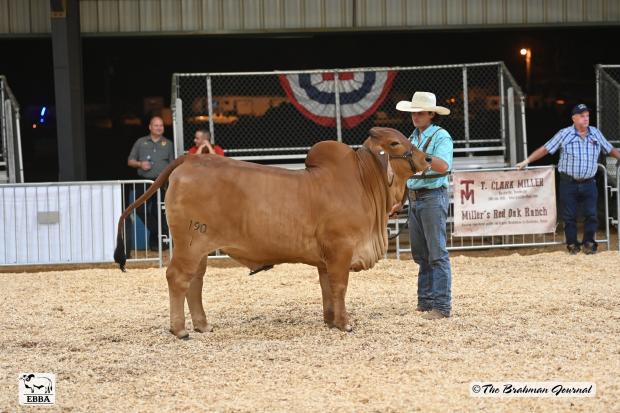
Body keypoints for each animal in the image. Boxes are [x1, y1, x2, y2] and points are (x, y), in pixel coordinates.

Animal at [114, 126, 428, 338]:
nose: (426, 159)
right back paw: (180, 330)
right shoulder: (340, 249)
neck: (363, 182)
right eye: (395, 142)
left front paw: (330, 320)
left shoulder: (325, 259)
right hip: (189, 244)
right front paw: (345, 323)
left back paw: (203, 325)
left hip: (198, 248)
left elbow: (327, 288)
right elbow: (340, 286)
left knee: (195, 282)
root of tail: (190, 160)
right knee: (178, 278)